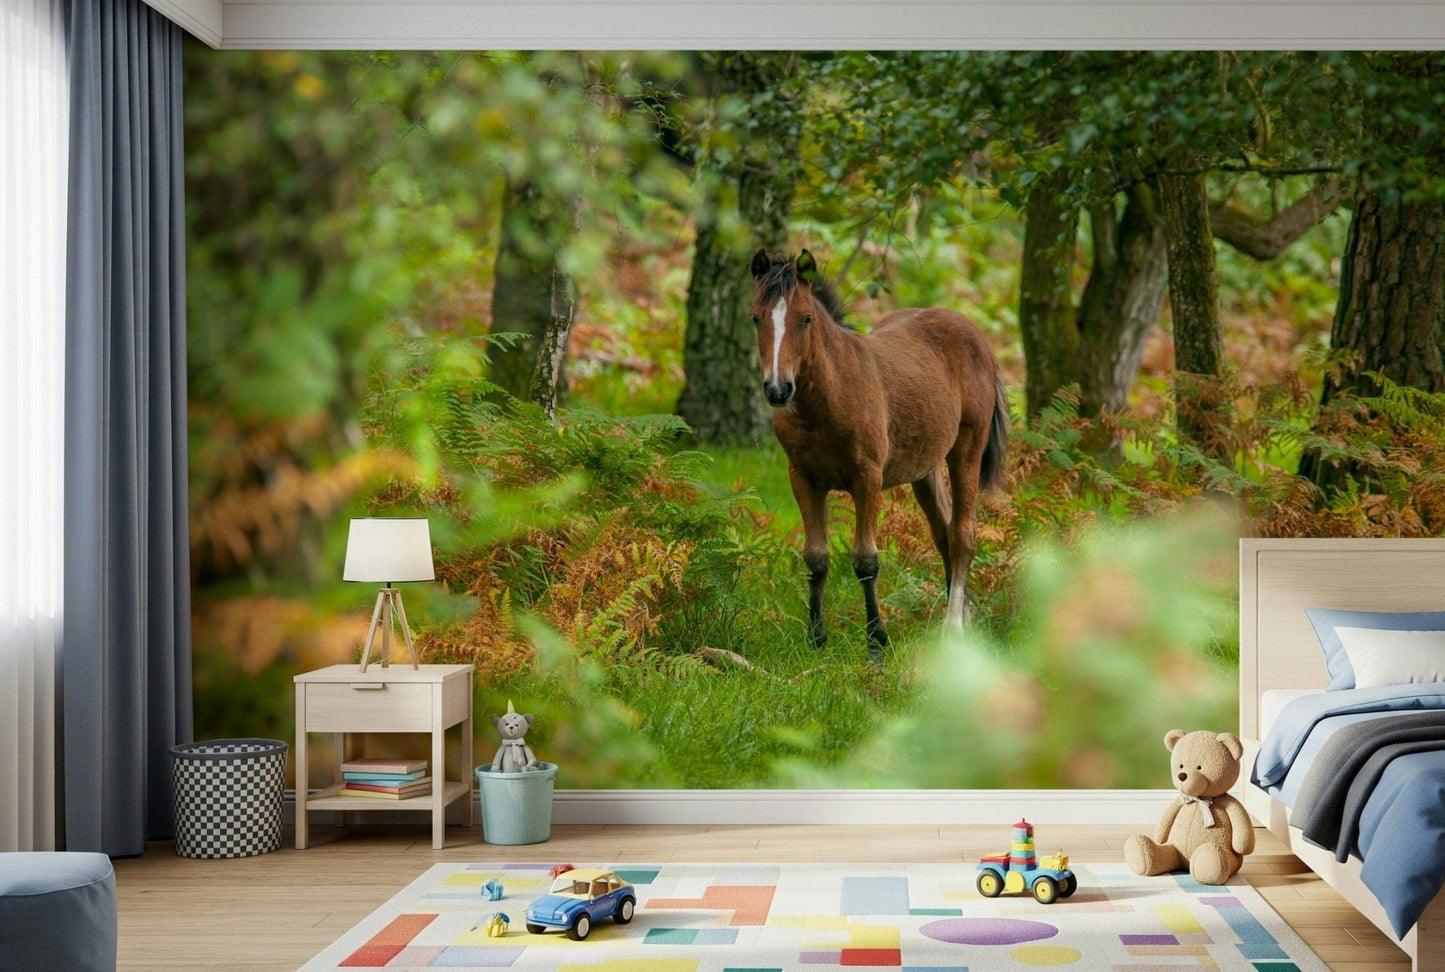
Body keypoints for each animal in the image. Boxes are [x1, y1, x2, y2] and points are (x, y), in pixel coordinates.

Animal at [749, 248, 1008, 659]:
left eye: (805, 318)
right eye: (756, 317)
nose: (778, 389)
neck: (828, 398)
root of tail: (975, 335)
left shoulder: (867, 479)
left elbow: (866, 561)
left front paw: (876, 642)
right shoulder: (803, 479)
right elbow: (815, 558)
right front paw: (816, 639)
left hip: (966, 449)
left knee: (963, 534)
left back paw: (954, 628)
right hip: (924, 469)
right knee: (943, 532)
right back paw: (964, 619)